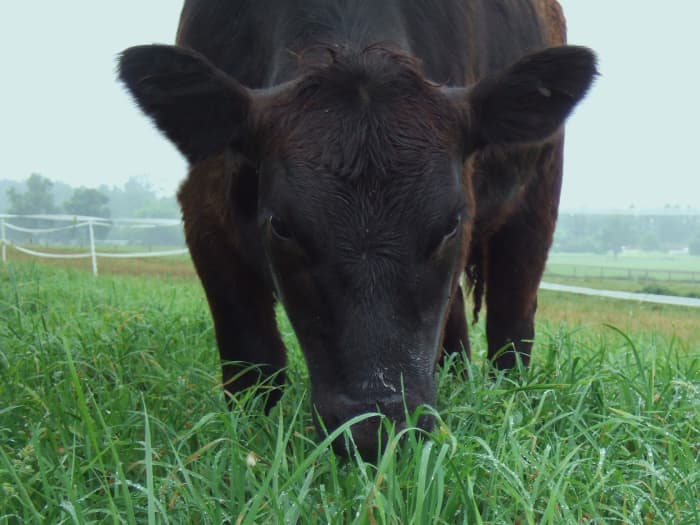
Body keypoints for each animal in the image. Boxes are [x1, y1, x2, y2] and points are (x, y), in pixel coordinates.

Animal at [120, 0, 596, 458]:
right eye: (281, 226)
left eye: (450, 223)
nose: (374, 428)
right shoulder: (204, 202)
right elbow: (252, 362)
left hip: (537, 196)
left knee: (511, 324)